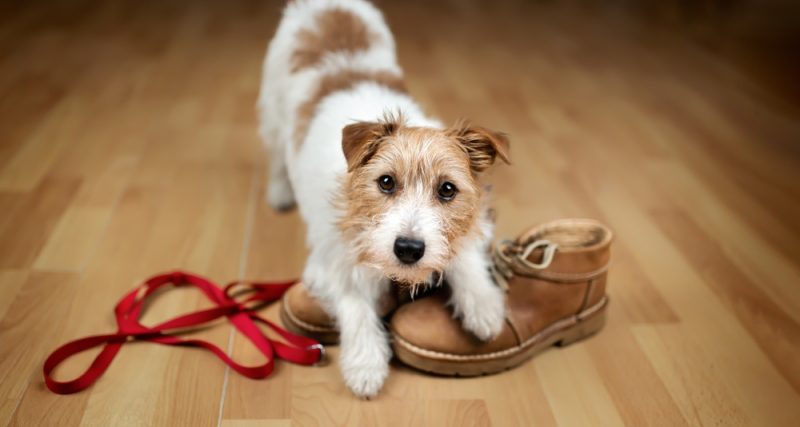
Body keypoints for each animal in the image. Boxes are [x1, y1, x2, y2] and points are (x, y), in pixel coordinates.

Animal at [260, 0, 512, 398]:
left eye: (447, 189)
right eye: (386, 182)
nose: (408, 249)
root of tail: (328, 7)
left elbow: (465, 255)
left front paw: (483, 305)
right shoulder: (332, 262)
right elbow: (356, 306)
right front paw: (365, 364)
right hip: (272, 112)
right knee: (275, 153)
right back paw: (280, 191)